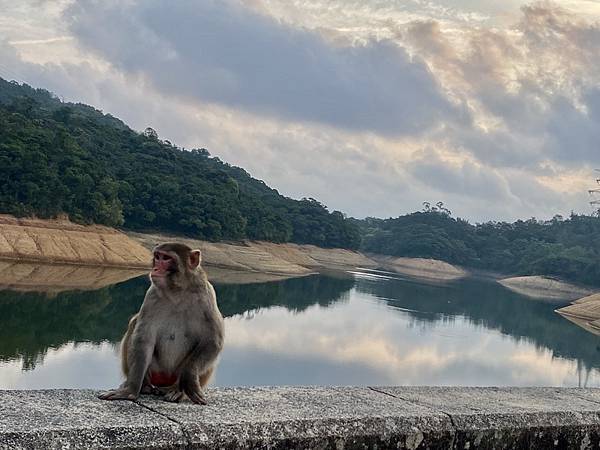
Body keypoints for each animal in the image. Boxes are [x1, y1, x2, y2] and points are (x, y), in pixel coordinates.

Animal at [99, 243, 225, 404]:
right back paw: (144, 385)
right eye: (157, 257)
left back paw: (178, 390)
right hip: (156, 369)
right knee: (134, 323)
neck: (177, 292)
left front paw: (189, 380)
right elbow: (143, 339)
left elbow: (212, 341)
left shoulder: (207, 297)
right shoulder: (151, 296)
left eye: (166, 258)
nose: (155, 269)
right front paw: (131, 390)